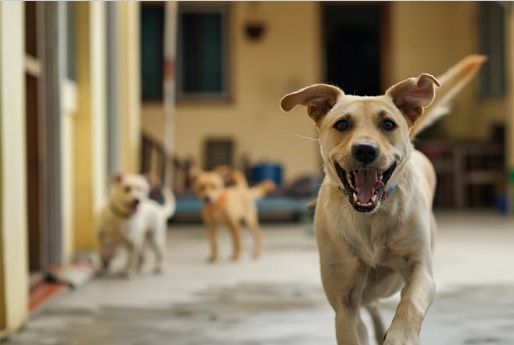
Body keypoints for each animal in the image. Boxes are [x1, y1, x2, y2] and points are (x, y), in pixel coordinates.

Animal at [278, 54, 482, 344]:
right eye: (342, 124)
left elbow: (411, 303)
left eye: (388, 124)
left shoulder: (421, 271)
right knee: (370, 306)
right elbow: (352, 328)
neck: (369, 219)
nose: (365, 150)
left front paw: (399, 336)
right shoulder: (345, 302)